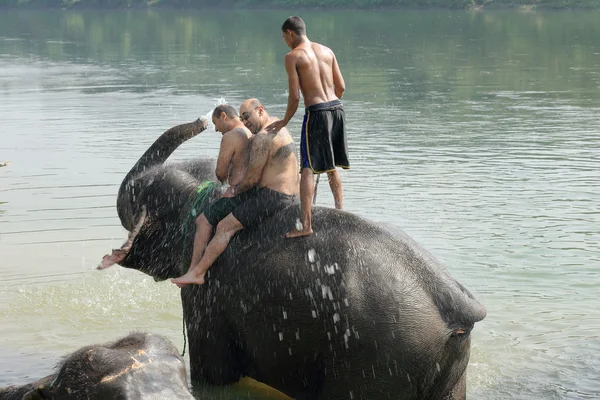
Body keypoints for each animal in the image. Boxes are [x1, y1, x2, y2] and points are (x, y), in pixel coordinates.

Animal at [101, 117, 488, 400]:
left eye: (137, 193)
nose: (202, 121)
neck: (206, 190)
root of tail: (458, 306)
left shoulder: (208, 295)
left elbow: (215, 374)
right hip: (444, 366)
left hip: (380, 356)